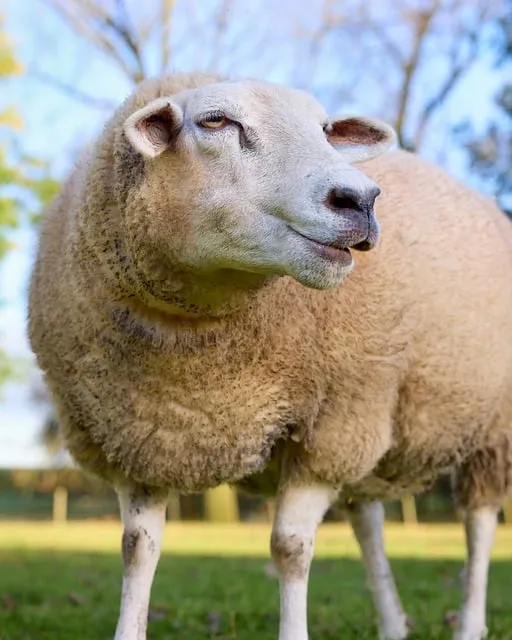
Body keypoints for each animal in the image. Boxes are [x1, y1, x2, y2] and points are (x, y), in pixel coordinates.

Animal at [27, 72, 512, 640]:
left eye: (325, 130)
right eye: (215, 120)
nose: (362, 199)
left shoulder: (325, 430)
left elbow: (290, 548)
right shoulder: (139, 437)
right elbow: (136, 549)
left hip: (482, 426)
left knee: (478, 523)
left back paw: (470, 623)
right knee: (368, 519)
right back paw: (393, 623)